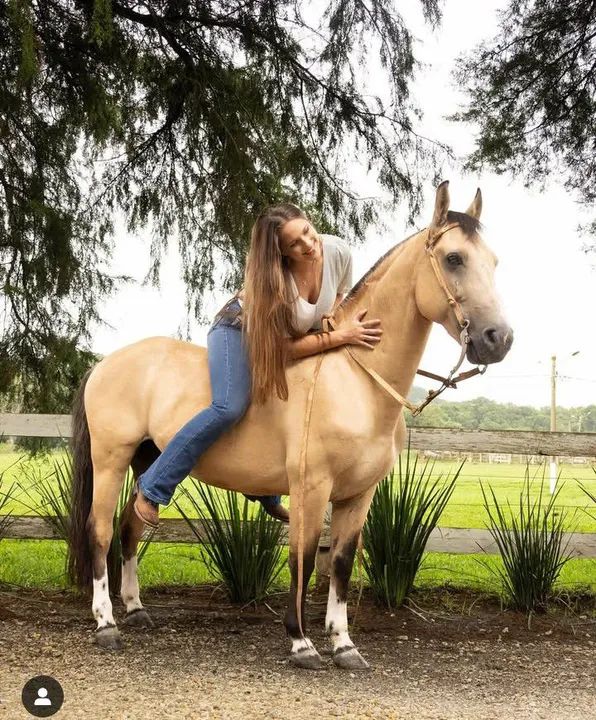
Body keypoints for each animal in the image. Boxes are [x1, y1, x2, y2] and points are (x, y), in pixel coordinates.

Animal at [68, 181, 513, 669]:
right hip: (111, 458)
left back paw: (136, 610)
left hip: (147, 460)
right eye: (453, 258)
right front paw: (302, 642)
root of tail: (104, 363)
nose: (499, 339)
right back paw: (106, 624)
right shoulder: (311, 488)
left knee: (132, 526)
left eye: (494, 261)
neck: (355, 379)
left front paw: (344, 644)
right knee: (100, 530)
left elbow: (339, 563)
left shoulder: (358, 495)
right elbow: (302, 558)